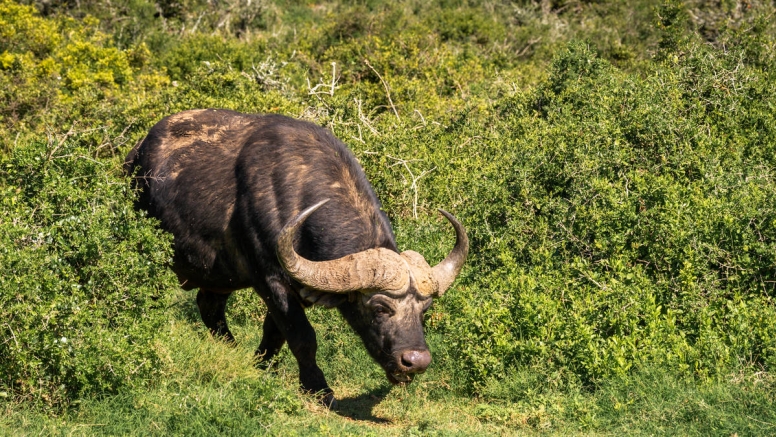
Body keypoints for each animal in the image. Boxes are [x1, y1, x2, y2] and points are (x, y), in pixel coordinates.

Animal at [125, 108, 466, 406]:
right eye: (380, 307)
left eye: (425, 309)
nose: (416, 361)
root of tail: (133, 157)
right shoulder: (270, 279)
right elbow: (302, 336)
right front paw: (318, 388)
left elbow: (275, 333)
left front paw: (261, 365)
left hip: (218, 275)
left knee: (209, 306)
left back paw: (229, 348)